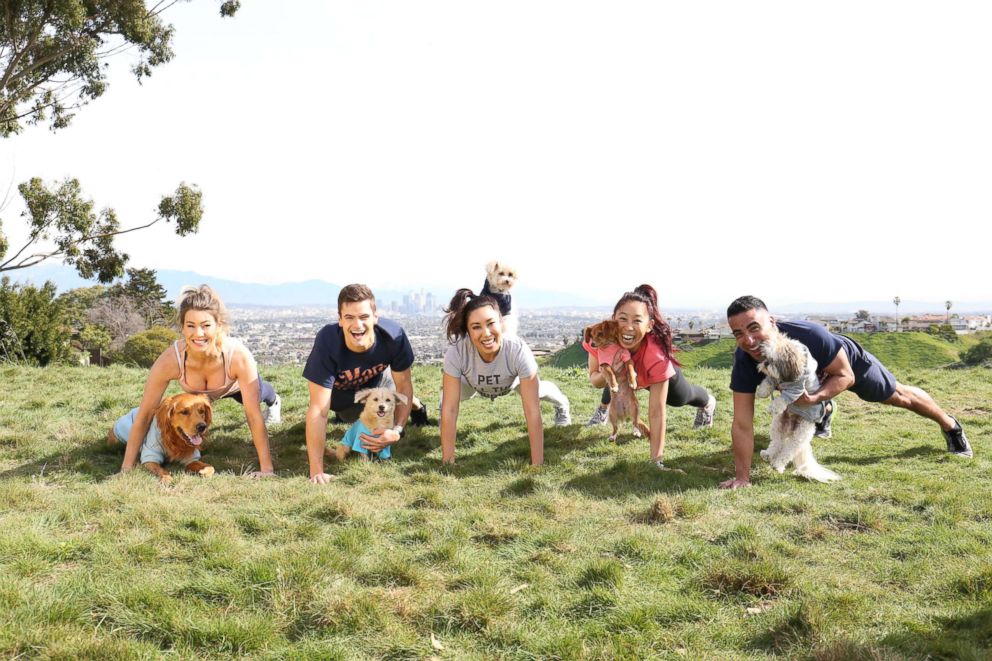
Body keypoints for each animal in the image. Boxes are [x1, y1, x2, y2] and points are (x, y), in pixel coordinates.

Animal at [756, 332, 840, 482]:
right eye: (766, 357)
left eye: (774, 360)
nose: (765, 363)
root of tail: (790, 428)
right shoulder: (775, 379)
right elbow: (769, 381)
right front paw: (762, 391)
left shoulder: (797, 389)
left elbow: (782, 398)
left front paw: (774, 407)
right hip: (778, 425)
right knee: (776, 443)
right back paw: (768, 454)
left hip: (799, 437)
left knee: (787, 452)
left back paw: (778, 465)